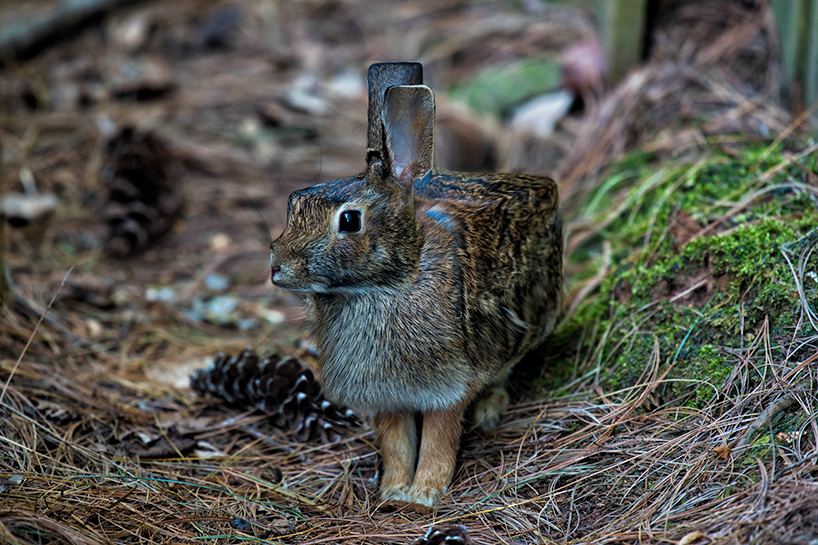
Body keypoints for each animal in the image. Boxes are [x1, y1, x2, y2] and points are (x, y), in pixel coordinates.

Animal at [268, 62, 560, 510]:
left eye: (349, 220)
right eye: (292, 203)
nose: (277, 266)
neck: (386, 285)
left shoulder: (449, 384)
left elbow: (439, 437)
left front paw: (424, 495)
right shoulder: (386, 398)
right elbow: (395, 443)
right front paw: (393, 493)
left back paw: (489, 412)